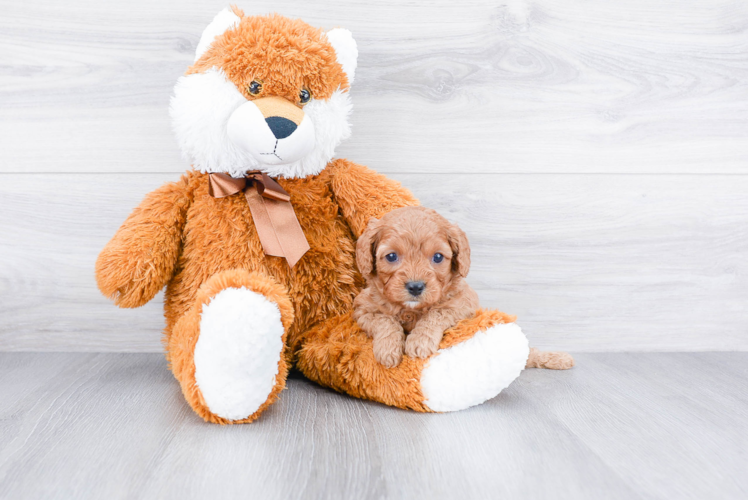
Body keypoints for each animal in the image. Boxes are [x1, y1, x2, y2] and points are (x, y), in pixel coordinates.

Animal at [356, 206, 480, 368]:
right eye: (391, 256)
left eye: (438, 257)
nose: (415, 287)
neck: (411, 309)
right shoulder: (364, 308)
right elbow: (384, 319)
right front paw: (388, 349)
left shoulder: (463, 302)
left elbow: (437, 312)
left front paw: (420, 341)